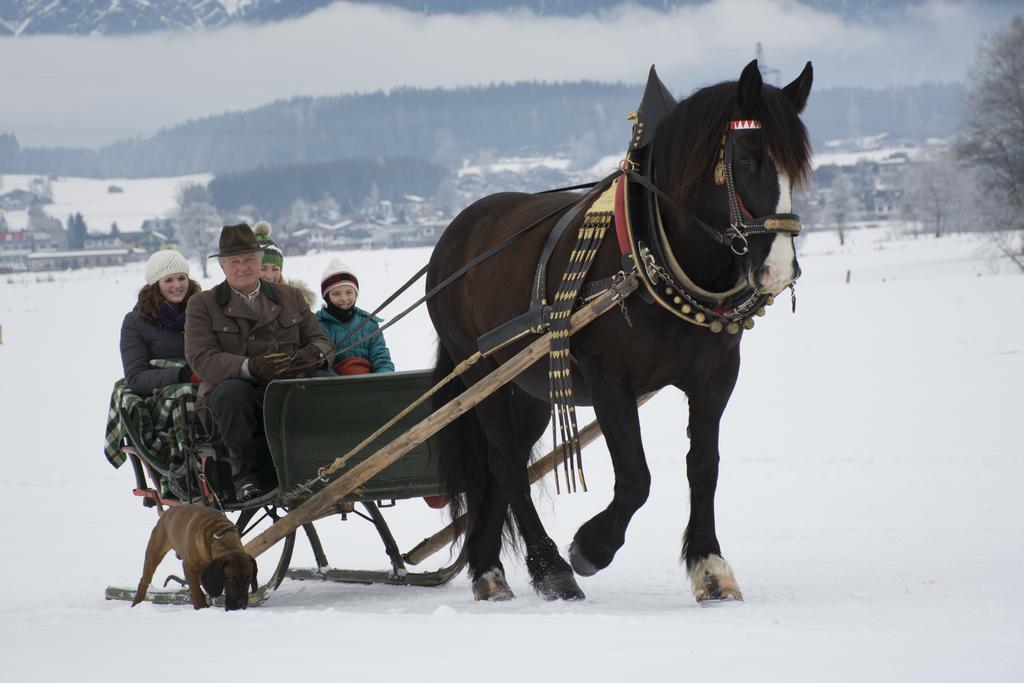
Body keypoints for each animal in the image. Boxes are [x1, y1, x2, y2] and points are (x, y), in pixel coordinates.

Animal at [428, 60, 811, 602]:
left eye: (798, 168)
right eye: (747, 159)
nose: (778, 268)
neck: (655, 254)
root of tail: (458, 231)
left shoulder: (715, 377)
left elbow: (704, 465)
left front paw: (710, 566)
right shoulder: (610, 380)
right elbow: (635, 477)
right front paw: (591, 547)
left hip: (528, 389)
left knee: (503, 467)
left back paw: (487, 569)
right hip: (482, 377)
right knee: (505, 463)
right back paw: (550, 568)